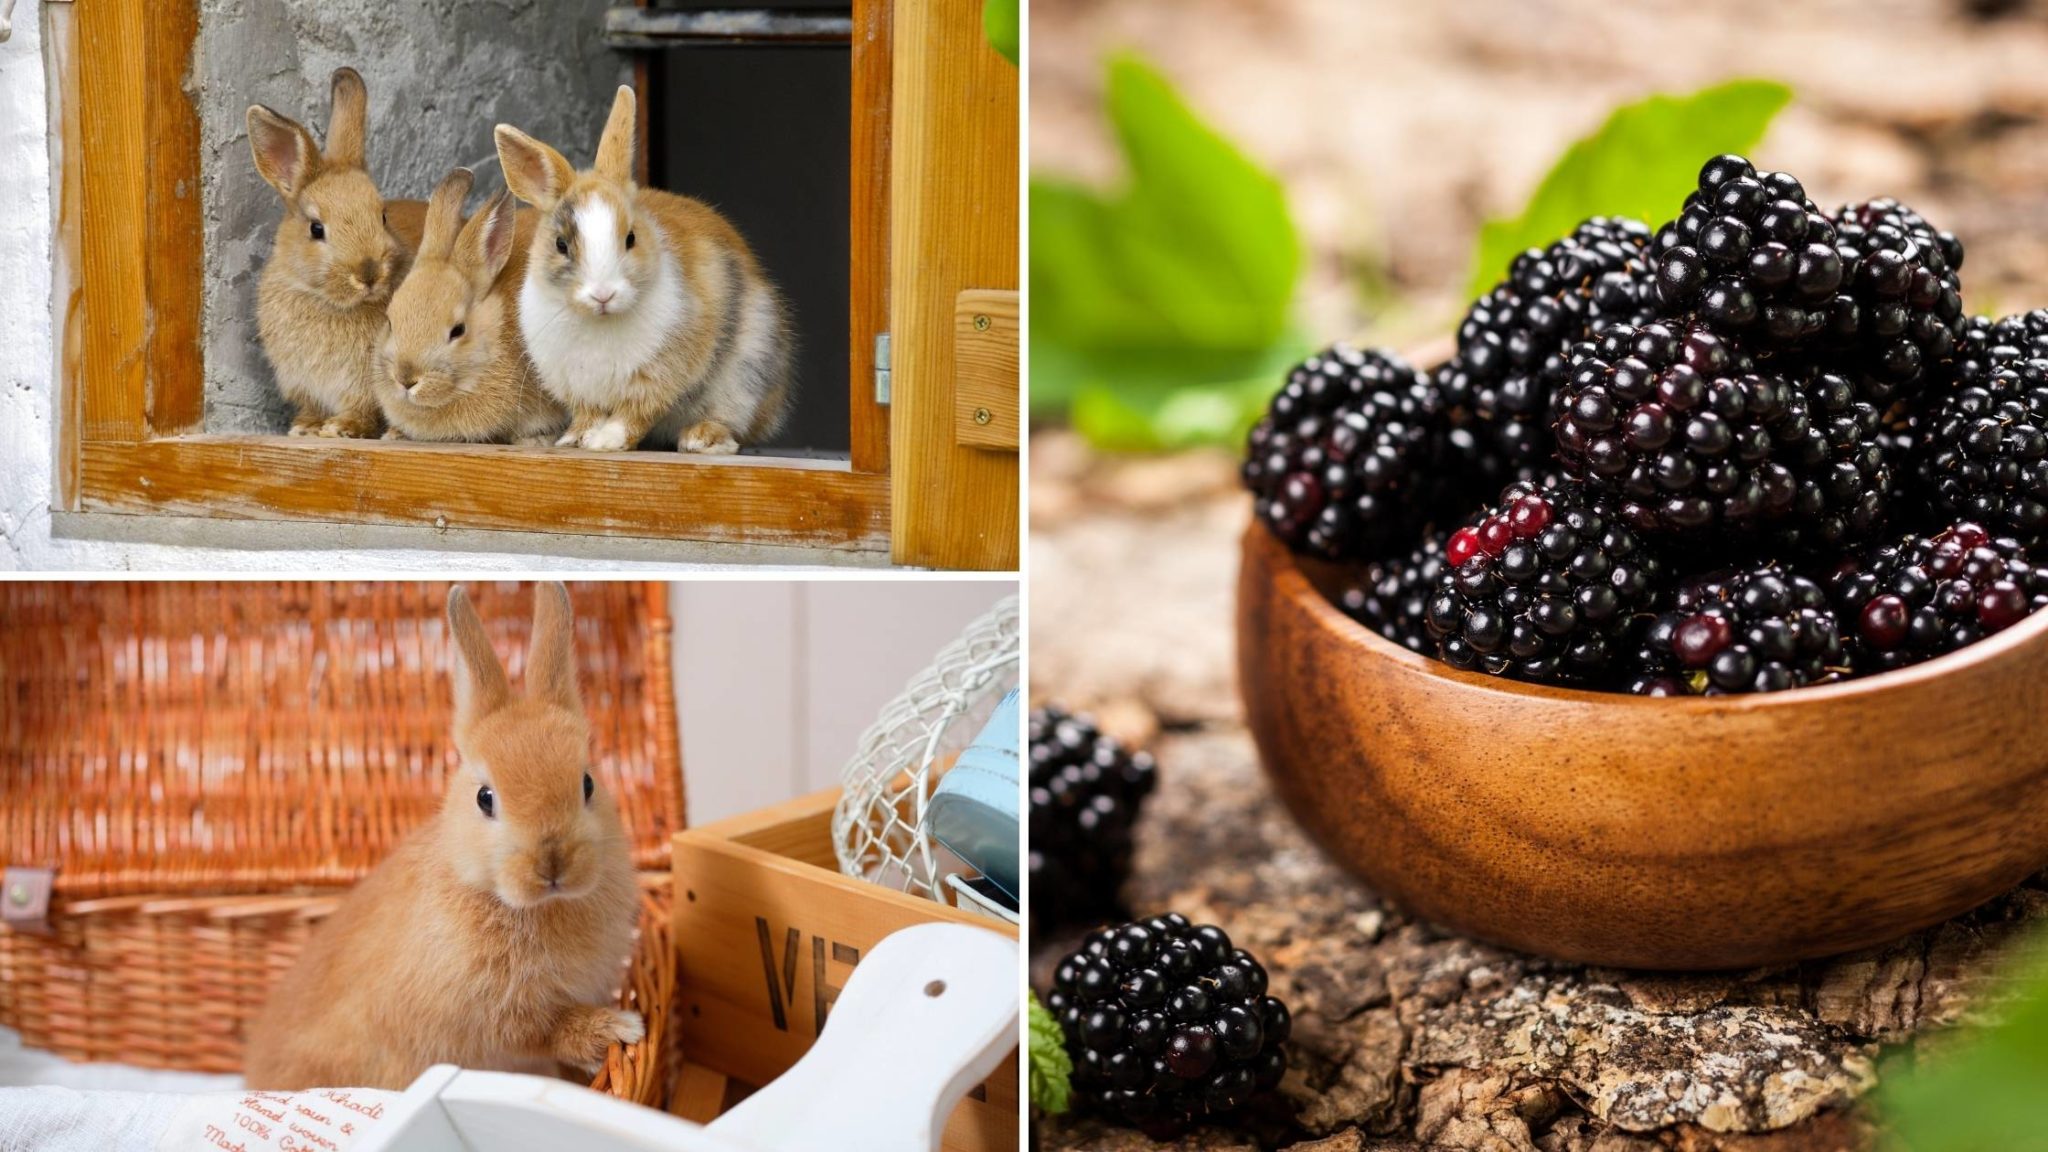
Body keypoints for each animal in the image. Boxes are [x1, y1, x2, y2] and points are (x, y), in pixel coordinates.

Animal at [243, 582, 643, 1091]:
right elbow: (547, 1029)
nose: (552, 865)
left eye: (587, 783)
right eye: (485, 798)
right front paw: (618, 1029)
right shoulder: (497, 1018)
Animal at [247, 67, 426, 439]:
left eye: (382, 216)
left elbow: (364, 409)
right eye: (316, 229)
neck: (329, 302)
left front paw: (342, 428)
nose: (369, 273)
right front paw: (305, 427)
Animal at [494, 86, 795, 455]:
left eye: (631, 238)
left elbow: (635, 412)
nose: (603, 294)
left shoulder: (658, 375)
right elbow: (588, 414)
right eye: (561, 244)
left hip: (747, 375)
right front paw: (575, 439)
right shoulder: (576, 386)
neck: (599, 321)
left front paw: (606, 442)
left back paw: (701, 439)